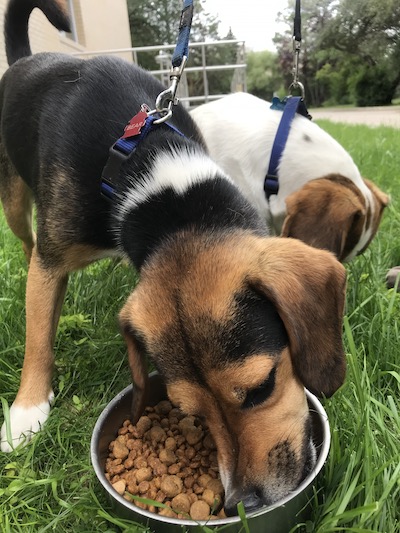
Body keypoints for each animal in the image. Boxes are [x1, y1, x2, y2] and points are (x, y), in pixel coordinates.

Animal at [0, 0, 346, 516]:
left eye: (262, 388)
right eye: (190, 413)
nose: (244, 502)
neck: (151, 171)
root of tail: (25, 59)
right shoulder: (53, 257)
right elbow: (38, 333)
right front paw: (27, 412)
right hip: (15, 201)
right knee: (27, 247)